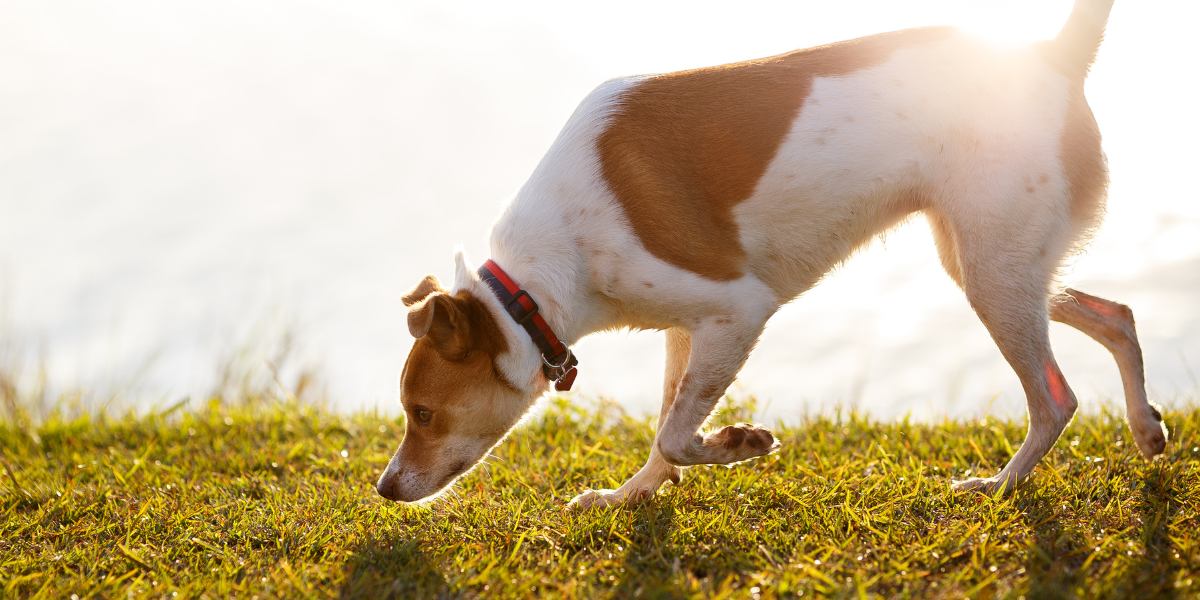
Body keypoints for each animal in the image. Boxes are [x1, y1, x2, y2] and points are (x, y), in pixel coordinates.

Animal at [372, 0, 1161, 508]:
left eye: (423, 414)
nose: (383, 488)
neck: (532, 289)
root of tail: (1048, 56)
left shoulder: (737, 310)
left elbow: (677, 434)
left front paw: (740, 443)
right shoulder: (687, 329)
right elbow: (666, 428)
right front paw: (630, 496)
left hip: (994, 271)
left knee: (1056, 399)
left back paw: (1000, 484)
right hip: (991, 261)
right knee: (1114, 314)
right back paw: (1146, 427)